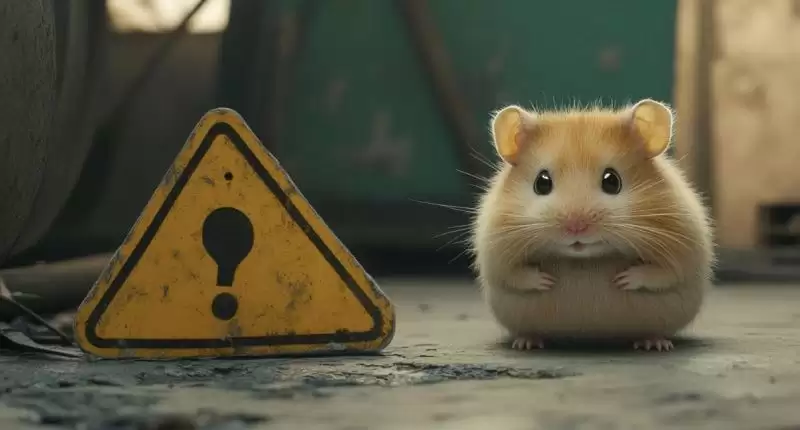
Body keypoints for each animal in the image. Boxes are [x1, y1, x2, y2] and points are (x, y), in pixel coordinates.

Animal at [470, 99, 714, 352]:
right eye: (541, 182)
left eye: (612, 181)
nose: (576, 228)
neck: (584, 259)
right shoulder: (495, 251)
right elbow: (512, 274)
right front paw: (546, 280)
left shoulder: (682, 249)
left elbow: (664, 273)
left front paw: (623, 279)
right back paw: (527, 343)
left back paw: (654, 343)